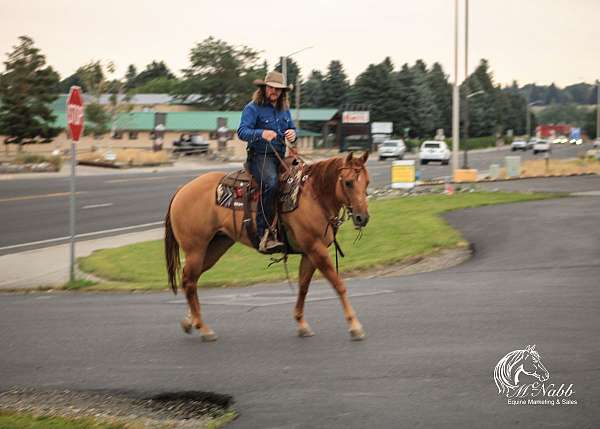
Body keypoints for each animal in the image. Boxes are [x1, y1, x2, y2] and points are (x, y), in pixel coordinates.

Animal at [164, 150, 370, 342]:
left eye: (367, 182)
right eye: (349, 182)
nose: (363, 218)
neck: (313, 196)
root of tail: (182, 190)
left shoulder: (309, 253)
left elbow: (303, 286)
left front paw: (301, 324)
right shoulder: (316, 249)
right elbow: (338, 284)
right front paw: (355, 326)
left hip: (215, 247)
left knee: (191, 280)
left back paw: (190, 321)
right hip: (196, 250)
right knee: (189, 281)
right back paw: (203, 328)